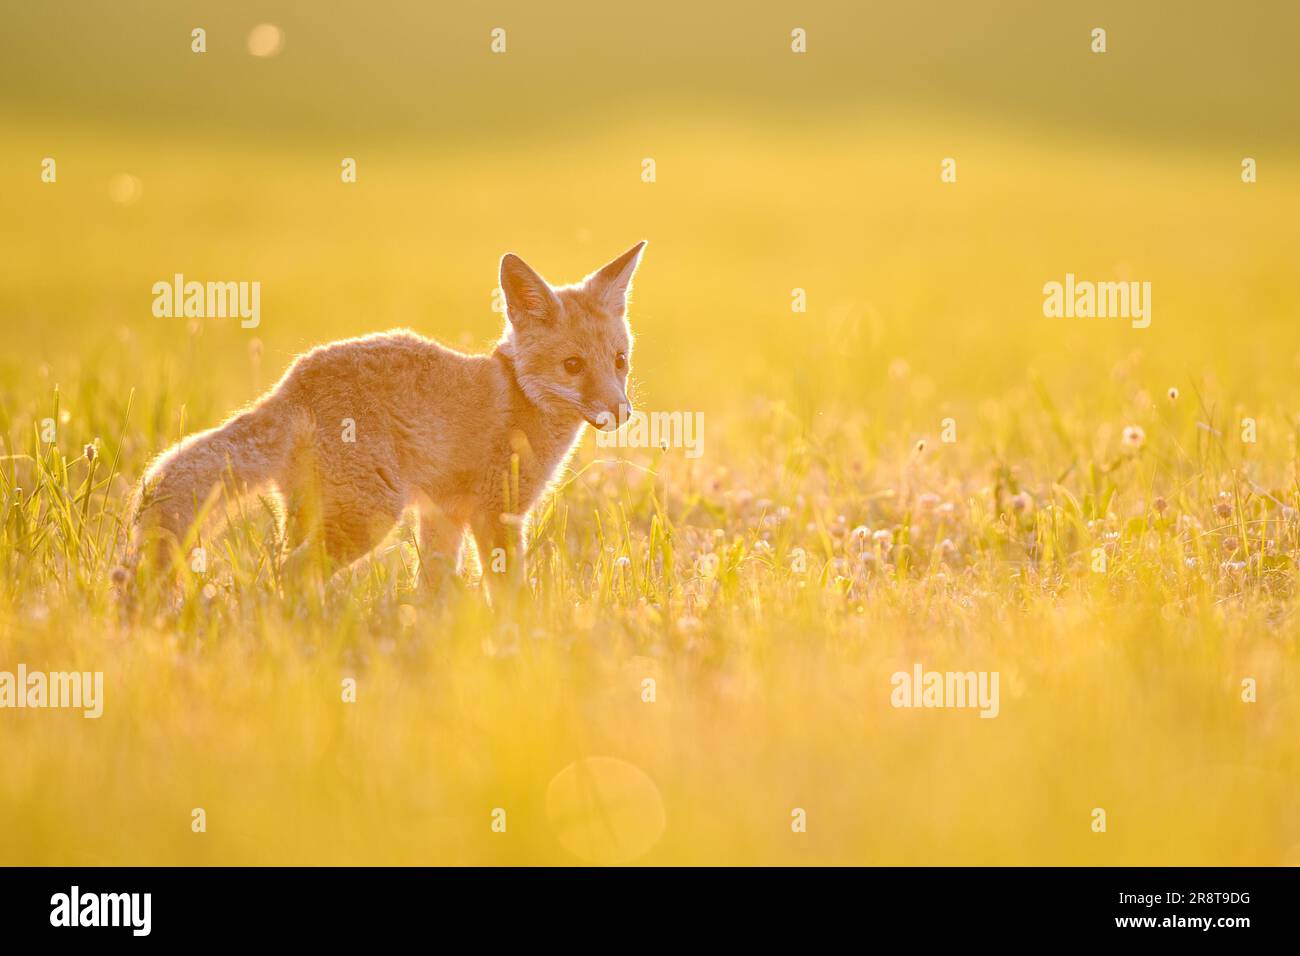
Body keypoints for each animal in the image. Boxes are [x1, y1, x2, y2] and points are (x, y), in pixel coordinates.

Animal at [120, 241, 647, 598]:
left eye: (620, 361)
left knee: (279, 569)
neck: (520, 394)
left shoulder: (443, 514)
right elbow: (506, 592)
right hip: (369, 516)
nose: (621, 412)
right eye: (573, 366)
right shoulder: (497, 513)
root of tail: (294, 382)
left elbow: (431, 590)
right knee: (292, 573)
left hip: (310, 512)